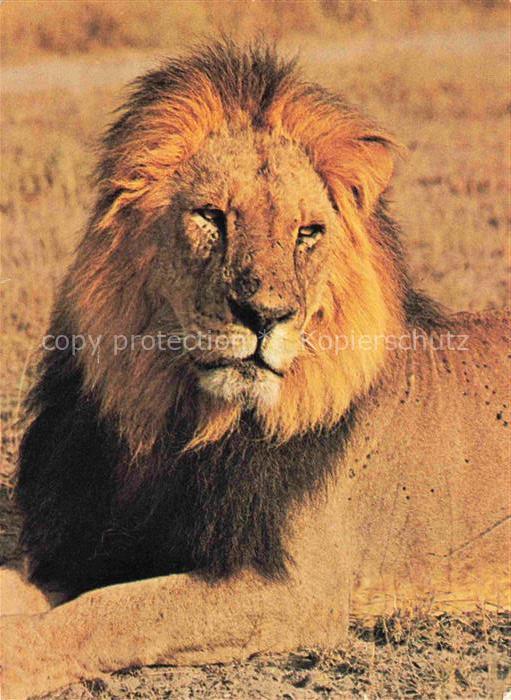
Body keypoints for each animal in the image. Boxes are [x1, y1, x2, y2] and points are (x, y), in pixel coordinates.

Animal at [1, 41, 509, 699]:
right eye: (211, 217)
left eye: (307, 233)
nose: (265, 315)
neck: (170, 422)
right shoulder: (81, 547)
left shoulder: (293, 589)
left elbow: (107, 614)